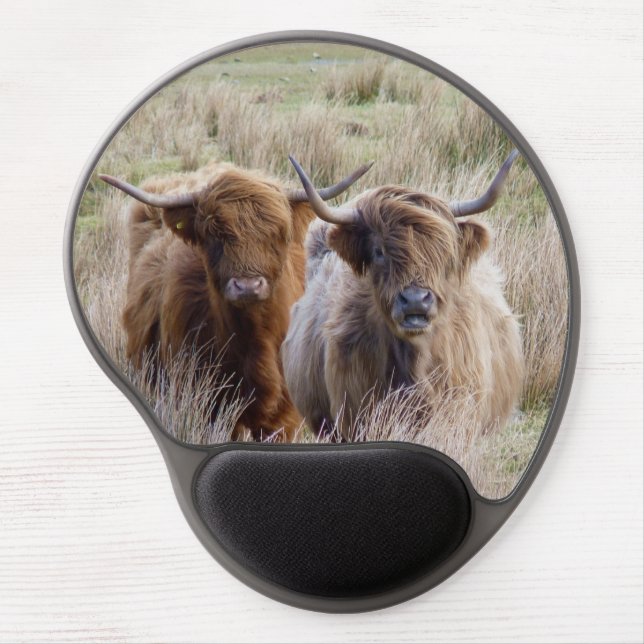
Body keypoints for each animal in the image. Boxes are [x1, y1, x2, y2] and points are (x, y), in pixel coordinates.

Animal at [99, 160, 371, 441]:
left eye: (279, 234)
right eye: (214, 235)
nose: (247, 286)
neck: (255, 341)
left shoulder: (283, 416)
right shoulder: (208, 406)